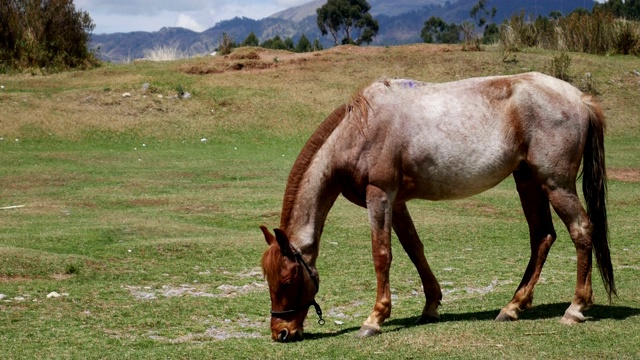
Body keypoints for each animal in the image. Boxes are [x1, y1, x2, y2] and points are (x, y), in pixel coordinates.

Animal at [260, 71, 616, 344]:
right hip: (529, 181)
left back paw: (575, 308)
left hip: (556, 184)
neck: (362, 128)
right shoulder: (397, 202)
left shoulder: (380, 196)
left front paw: (374, 319)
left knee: (581, 230)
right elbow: (414, 249)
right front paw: (430, 305)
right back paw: (513, 306)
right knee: (542, 236)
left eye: (288, 280)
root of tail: (580, 98)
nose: (281, 332)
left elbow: (382, 254)